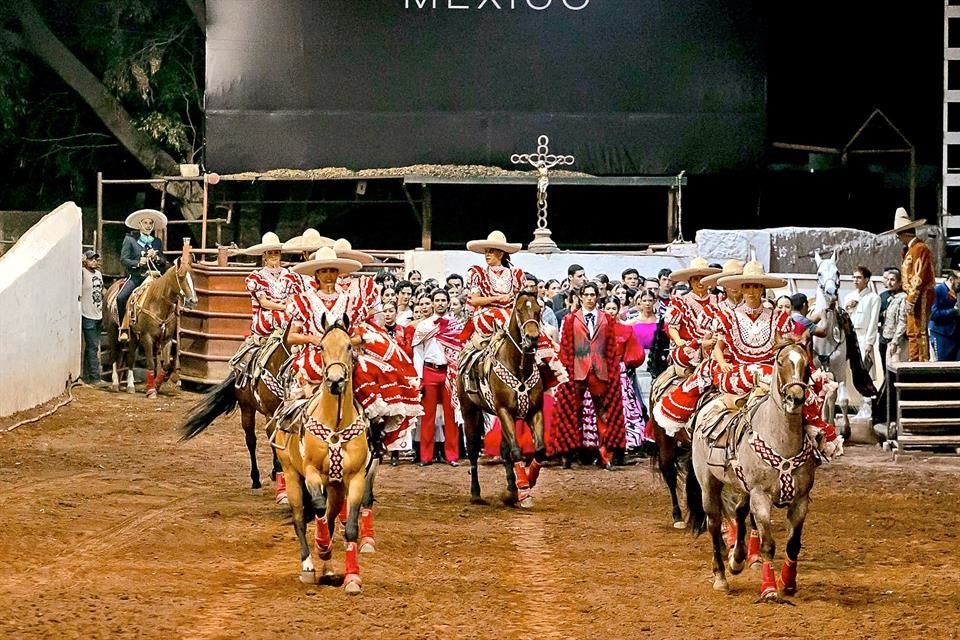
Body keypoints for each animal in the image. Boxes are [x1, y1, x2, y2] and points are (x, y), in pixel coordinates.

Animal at [104, 244, 198, 398]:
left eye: (194, 277)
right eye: (181, 276)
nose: (193, 301)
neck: (158, 303)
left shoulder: (166, 339)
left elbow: (165, 365)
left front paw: (157, 385)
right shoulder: (147, 338)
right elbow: (150, 363)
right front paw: (151, 390)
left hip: (133, 336)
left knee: (130, 357)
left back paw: (130, 385)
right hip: (112, 331)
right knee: (113, 355)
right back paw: (115, 383)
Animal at [688, 344, 812, 600]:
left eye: (807, 364)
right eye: (781, 362)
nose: (795, 398)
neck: (781, 439)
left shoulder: (801, 500)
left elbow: (793, 544)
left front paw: (788, 582)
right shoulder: (760, 497)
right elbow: (768, 545)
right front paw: (769, 589)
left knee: (739, 511)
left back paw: (737, 560)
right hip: (709, 485)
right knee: (714, 524)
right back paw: (721, 577)